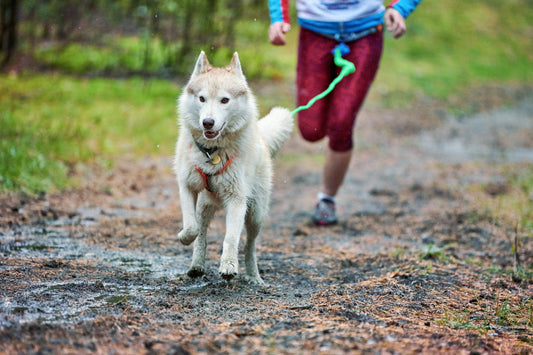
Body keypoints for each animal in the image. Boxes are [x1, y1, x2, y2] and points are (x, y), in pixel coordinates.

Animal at [174, 50, 290, 286]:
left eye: (224, 100)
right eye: (202, 98)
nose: (208, 122)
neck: (212, 153)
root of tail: (261, 136)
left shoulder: (237, 200)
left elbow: (231, 238)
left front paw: (228, 266)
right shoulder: (186, 186)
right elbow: (192, 228)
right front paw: (183, 237)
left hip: (255, 214)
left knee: (249, 245)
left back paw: (253, 276)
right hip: (204, 207)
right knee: (202, 234)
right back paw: (196, 266)